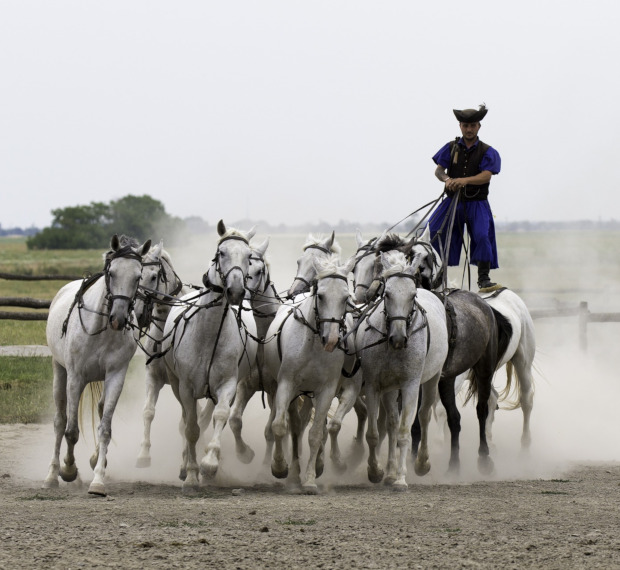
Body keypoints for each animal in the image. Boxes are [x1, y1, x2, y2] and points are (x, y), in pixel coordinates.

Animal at [43, 232, 151, 492]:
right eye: (112, 273)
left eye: (138, 277)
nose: (118, 319)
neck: (101, 329)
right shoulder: (75, 377)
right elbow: (71, 430)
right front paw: (68, 470)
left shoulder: (115, 376)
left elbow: (105, 429)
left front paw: (98, 480)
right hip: (59, 371)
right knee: (60, 422)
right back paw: (52, 475)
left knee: (101, 410)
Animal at [162, 220, 260, 486]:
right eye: (221, 253)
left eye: (248, 256)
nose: (236, 291)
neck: (208, 334)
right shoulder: (186, 387)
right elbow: (191, 428)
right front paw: (191, 474)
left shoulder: (227, 384)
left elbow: (220, 416)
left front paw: (209, 463)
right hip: (175, 383)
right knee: (188, 420)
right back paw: (185, 465)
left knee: (208, 417)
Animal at [264, 255, 356, 490]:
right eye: (321, 295)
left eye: (345, 297)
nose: (331, 340)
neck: (313, 345)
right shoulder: (286, 384)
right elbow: (280, 426)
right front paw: (279, 467)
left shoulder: (325, 391)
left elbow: (315, 434)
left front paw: (310, 479)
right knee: (293, 426)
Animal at [356, 251, 448, 486]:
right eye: (387, 294)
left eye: (412, 295)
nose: (398, 339)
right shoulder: (374, 385)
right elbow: (375, 433)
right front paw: (376, 471)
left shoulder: (410, 385)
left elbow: (405, 432)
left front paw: (400, 479)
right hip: (391, 388)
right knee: (391, 423)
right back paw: (389, 472)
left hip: (432, 379)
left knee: (424, 415)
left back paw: (422, 463)